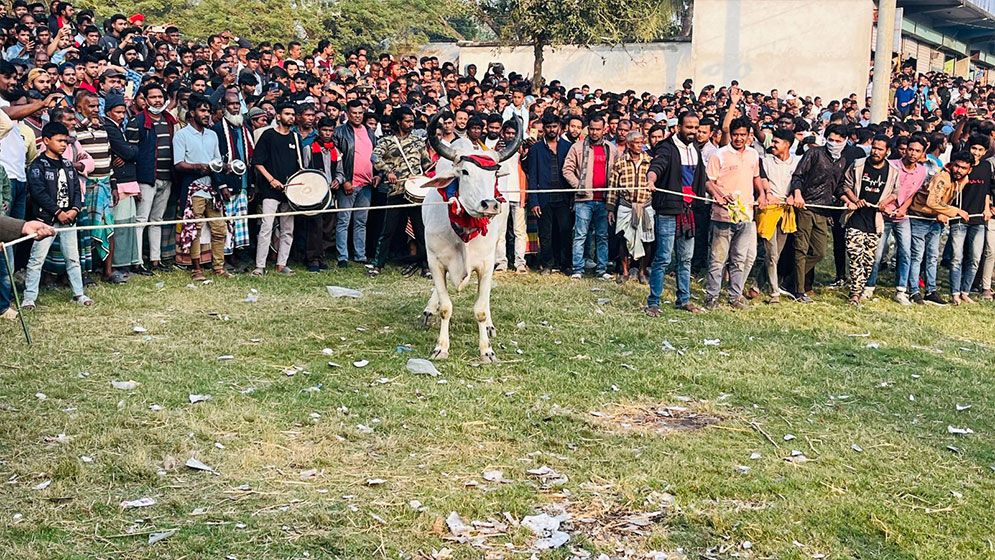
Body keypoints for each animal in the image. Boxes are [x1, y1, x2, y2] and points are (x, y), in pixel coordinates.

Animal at [424, 114, 524, 364]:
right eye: (465, 172)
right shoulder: (434, 261)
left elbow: (480, 308)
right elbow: (445, 306)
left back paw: (489, 324)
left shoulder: (486, 264)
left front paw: (486, 350)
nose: (490, 204)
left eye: (494, 174)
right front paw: (441, 347)